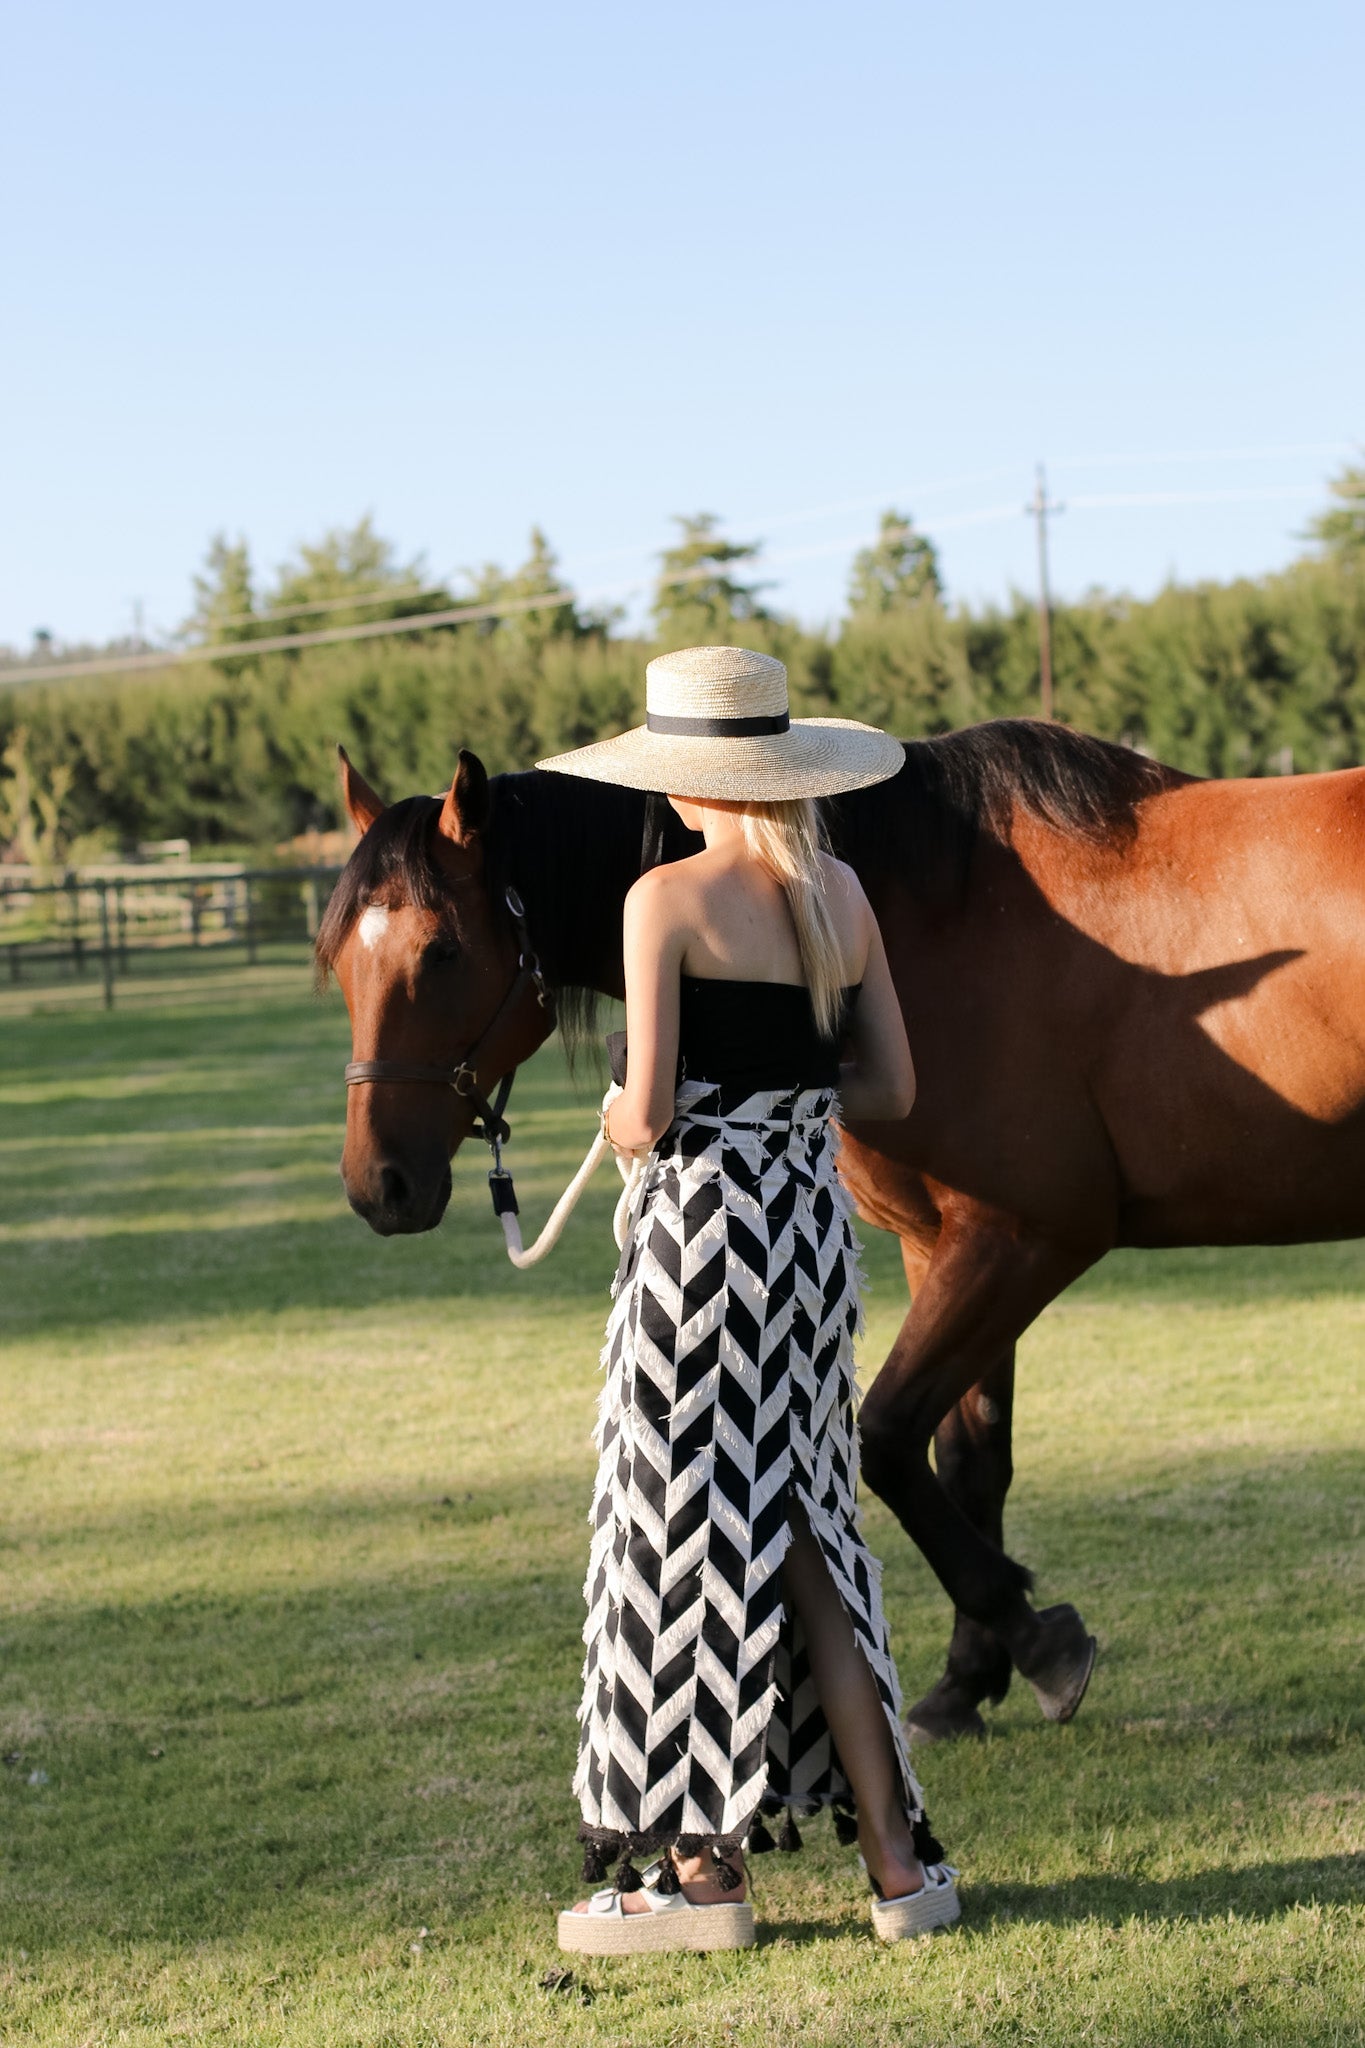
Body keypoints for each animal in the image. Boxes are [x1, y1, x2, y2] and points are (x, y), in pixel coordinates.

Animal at [317, 729, 1365, 1736]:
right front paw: (967, 1679)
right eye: (337, 963)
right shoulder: (947, 1244)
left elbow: (890, 1439)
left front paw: (1037, 1642)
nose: (379, 1186)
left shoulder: (1024, 1241)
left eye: (441, 951)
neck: (927, 915)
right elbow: (969, 1462)